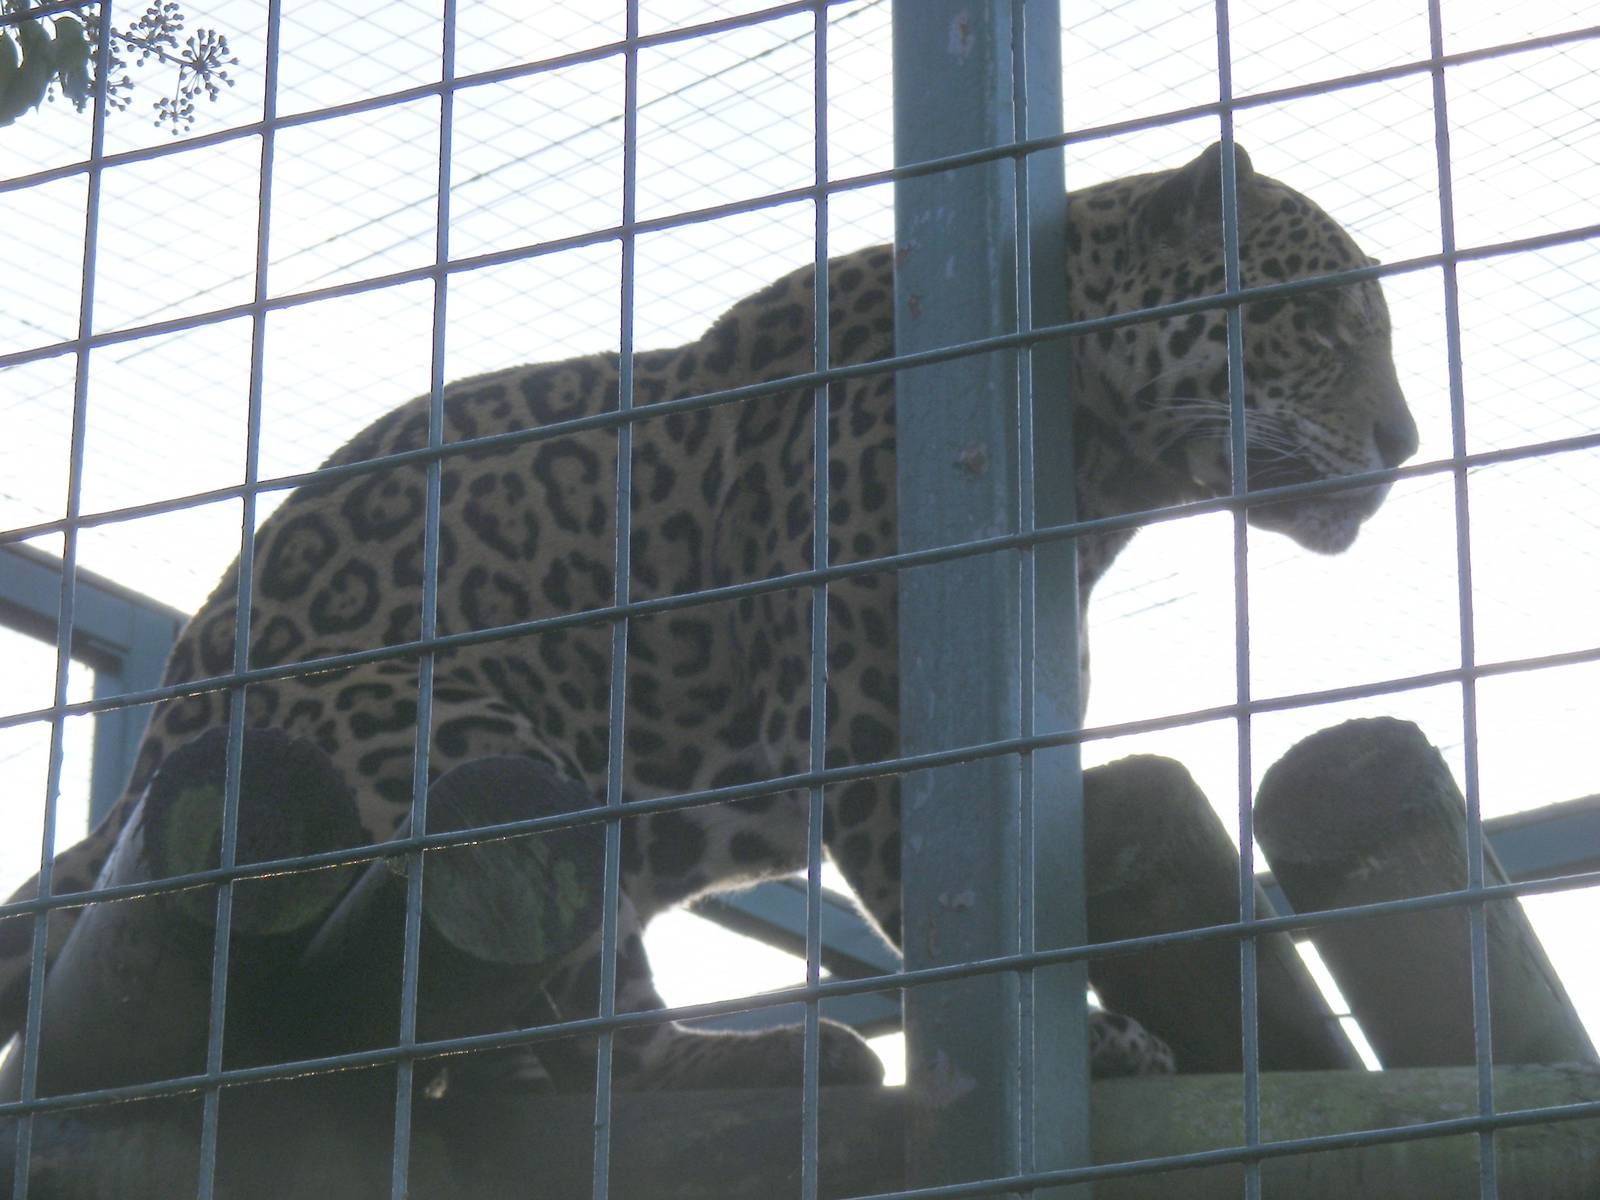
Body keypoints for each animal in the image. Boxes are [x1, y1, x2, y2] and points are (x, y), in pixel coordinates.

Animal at [0, 142, 1417, 1090]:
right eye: (1318, 322)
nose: (1405, 442)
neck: (1101, 477)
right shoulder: (875, 721)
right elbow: (954, 919)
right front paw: (1079, 1040)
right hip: (458, 736)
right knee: (585, 1031)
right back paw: (773, 1056)